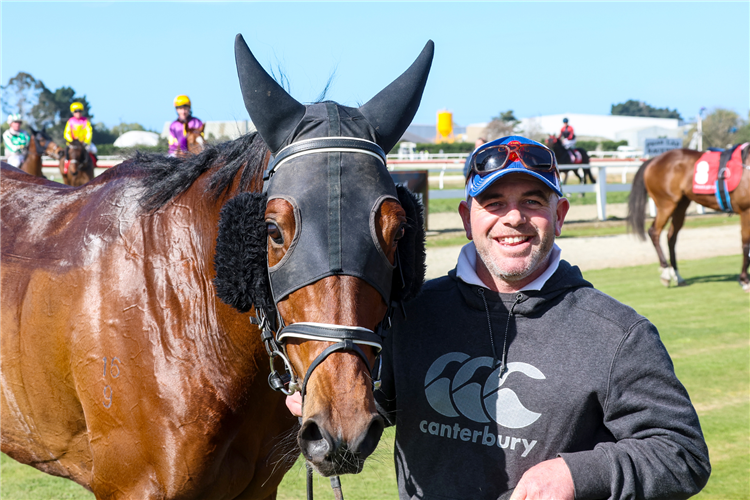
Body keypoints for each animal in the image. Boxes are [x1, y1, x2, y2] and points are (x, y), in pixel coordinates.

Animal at [628, 146, 750, 292]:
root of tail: (654, 159)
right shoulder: (746, 211)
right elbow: (746, 245)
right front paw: (744, 280)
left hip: (681, 205)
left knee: (671, 237)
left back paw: (677, 276)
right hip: (666, 204)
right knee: (654, 232)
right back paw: (666, 273)